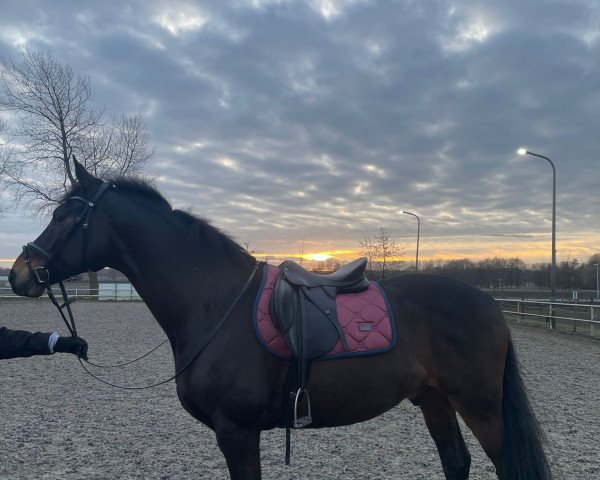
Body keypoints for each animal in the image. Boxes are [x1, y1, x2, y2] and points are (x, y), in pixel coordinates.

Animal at [9, 162, 552, 480]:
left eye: (65, 216)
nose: (19, 273)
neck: (214, 305)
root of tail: (489, 304)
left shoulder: (236, 431)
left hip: (480, 405)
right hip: (434, 398)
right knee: (456, 461)